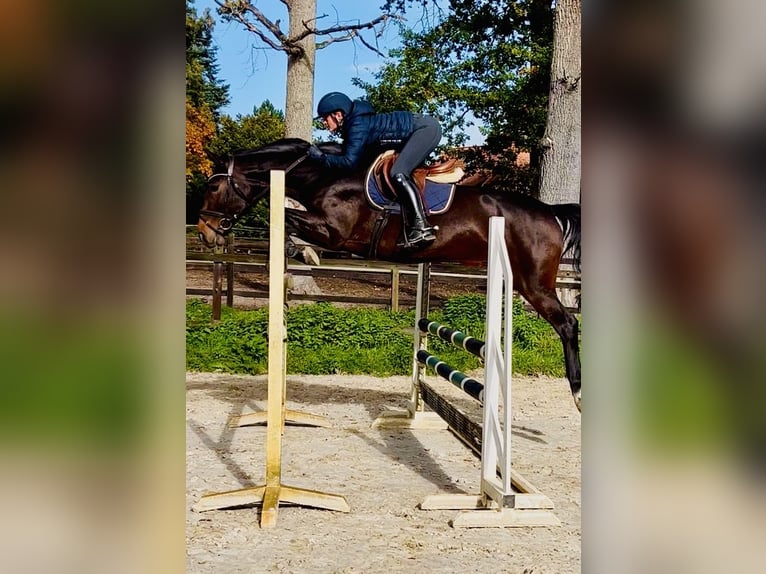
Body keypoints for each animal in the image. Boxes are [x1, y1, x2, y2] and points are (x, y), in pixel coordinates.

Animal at [197, 138, 582, 411]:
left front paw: (304, 251)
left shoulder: (335, 232)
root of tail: (549, 212)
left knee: (567, 324)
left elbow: (285, 220)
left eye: (214, 188)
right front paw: (302, 252)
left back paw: (577, 392)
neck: (325, 175)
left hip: (534, 284)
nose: (204, 232)